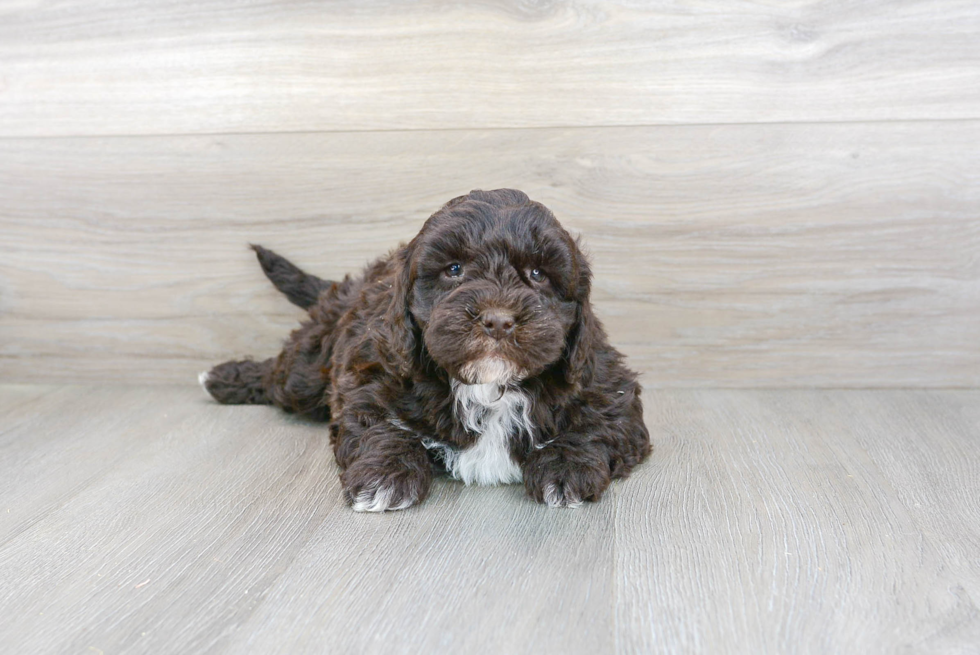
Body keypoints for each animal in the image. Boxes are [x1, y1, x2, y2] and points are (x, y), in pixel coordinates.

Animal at [201, 190, 652, 512]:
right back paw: (222, 378)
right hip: (308, 371)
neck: (490, 384)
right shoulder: (372, 370)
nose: (498, 320)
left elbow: (599, 422)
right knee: (283, 375)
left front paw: (565, 467)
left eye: (538, 274)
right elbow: (379, 425)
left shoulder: (605, 381)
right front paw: (386, 475)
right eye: (453, 270)